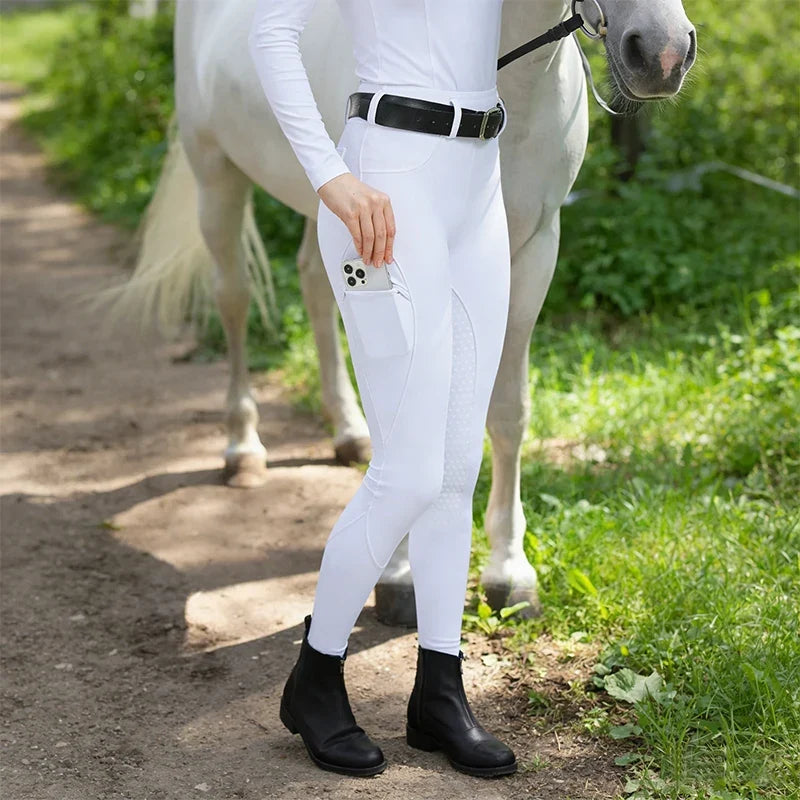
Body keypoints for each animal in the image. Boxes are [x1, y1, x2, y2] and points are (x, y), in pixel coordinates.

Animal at [109, 0, 695, 625]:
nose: (662, 53)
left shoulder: (533, 251)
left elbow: (508, 412)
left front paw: (509, 572)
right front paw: (400, 577)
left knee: (314, 285)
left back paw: (347, 433)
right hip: (217, 177)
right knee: (234, 299)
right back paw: (243, 449)